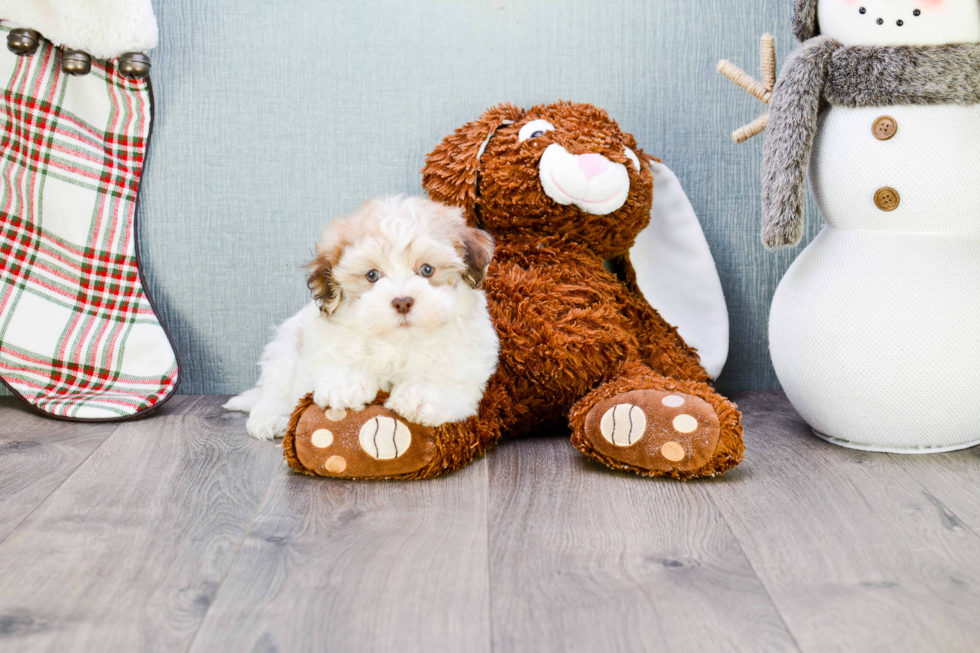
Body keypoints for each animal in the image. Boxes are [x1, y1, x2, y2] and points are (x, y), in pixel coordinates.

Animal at [223, 194, 498, 438]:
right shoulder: (326, 332)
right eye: (372, 275)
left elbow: (446, 369)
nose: (402, 302)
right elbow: (340, 352)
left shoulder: (465, 349)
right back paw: (270, 419)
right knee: (275, 388)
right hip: (286, 346)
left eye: (427, 270)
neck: (398, 341)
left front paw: (420, 396)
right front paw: (345, 386)